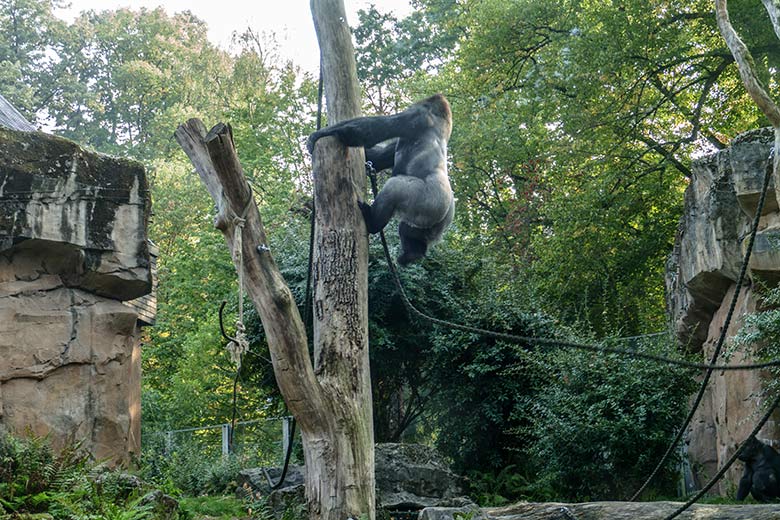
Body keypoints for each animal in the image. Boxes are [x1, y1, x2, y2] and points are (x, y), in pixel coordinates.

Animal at [308, 94, 454, 266]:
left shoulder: (417, 115)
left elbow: (365, 132)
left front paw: (322, 133)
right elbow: (379, 157)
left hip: (430, 201)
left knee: (394, 187)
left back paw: (372, 223)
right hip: (433, 220)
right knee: (409, 230)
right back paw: (413, 253)